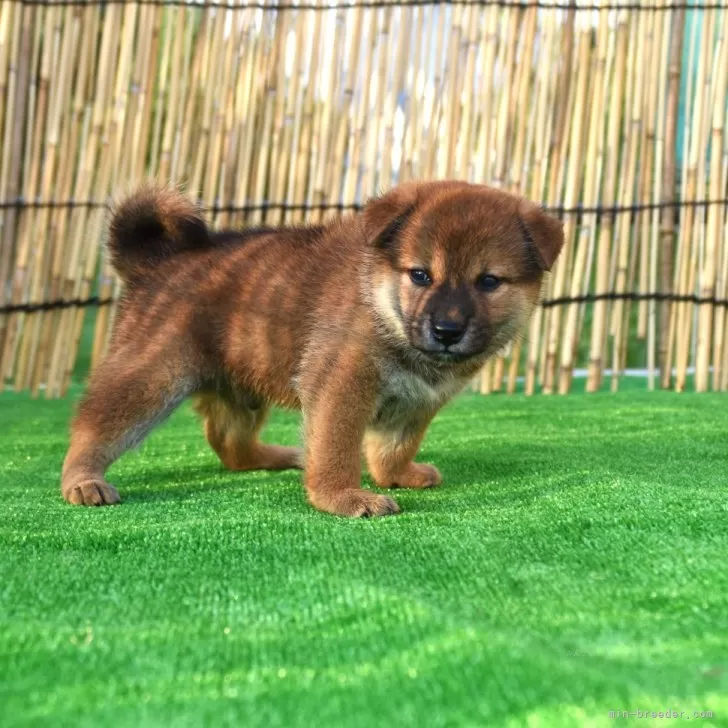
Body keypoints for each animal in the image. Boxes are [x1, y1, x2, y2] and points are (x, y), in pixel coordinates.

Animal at [61, 182, 564, 516]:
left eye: (488, 282)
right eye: (421, 275)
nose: (446, 330)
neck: (381, 307)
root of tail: (154, 262)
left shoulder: (416, 403)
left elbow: (393, 447)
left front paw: (399, 475)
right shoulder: (341, 386)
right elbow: (336, 451)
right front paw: (344, 498)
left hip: (242, 389)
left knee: (228, 443)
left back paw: (276, 457)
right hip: (149, 377)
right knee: (92, 428)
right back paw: (84, 481)